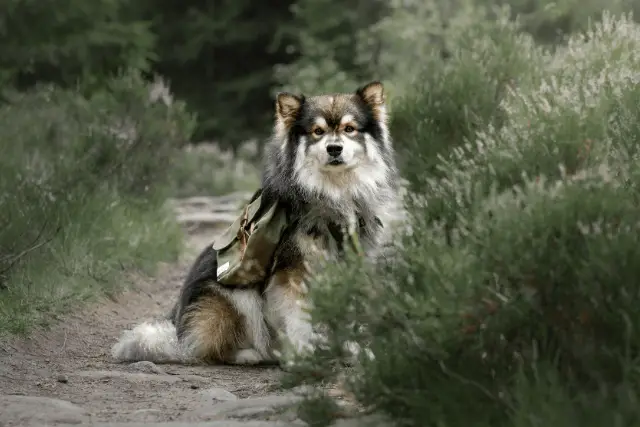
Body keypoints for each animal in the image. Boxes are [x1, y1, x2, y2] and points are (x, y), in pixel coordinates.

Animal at [110, 81, 400, 368]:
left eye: (349, 129)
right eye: (317, 131)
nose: (334, 149)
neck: (334, 192)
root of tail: (179, 330)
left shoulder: (350, 265)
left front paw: (354, 351)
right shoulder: (293, 274)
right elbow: (300, 320)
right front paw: (305, 356)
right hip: (237, 297)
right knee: (210, 349)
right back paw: (252, 354)